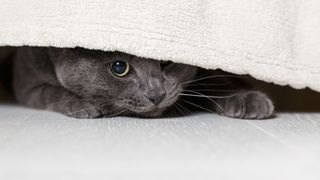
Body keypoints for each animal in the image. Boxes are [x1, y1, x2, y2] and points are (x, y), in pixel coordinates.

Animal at [13, 47, 276, 119]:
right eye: (119, 68)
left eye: (167, 60)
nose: (156, 94)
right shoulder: (27, 81)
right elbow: (48, 92)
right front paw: (83, 105)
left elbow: (214, 83)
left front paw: (248, 98)